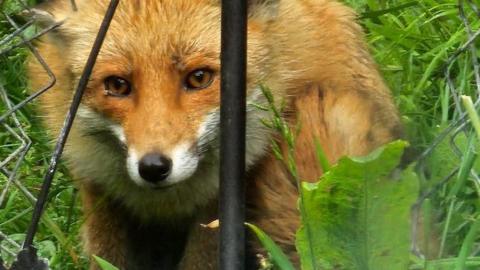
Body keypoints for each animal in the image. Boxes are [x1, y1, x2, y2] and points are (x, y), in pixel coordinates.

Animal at [26, 0, 402, 268]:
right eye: (117, 85)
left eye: (199, 78)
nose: (154, 167)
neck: (165, 203)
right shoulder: (100, 191)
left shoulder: (217, 205)